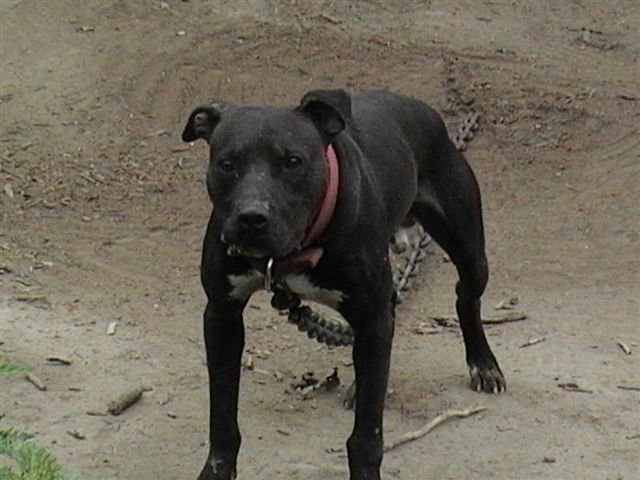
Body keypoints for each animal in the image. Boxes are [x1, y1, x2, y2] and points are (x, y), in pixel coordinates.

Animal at [182, 89, 505, 480]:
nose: (252, 218)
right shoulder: (222, 316)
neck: (297, 247)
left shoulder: (371, 316)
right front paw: (217, 470)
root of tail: (422, 109)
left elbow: (367, 436)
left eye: (293, 161)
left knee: (465, 297)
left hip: (469, 250)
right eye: (227, 163)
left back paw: (483, 364)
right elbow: (222, 416)